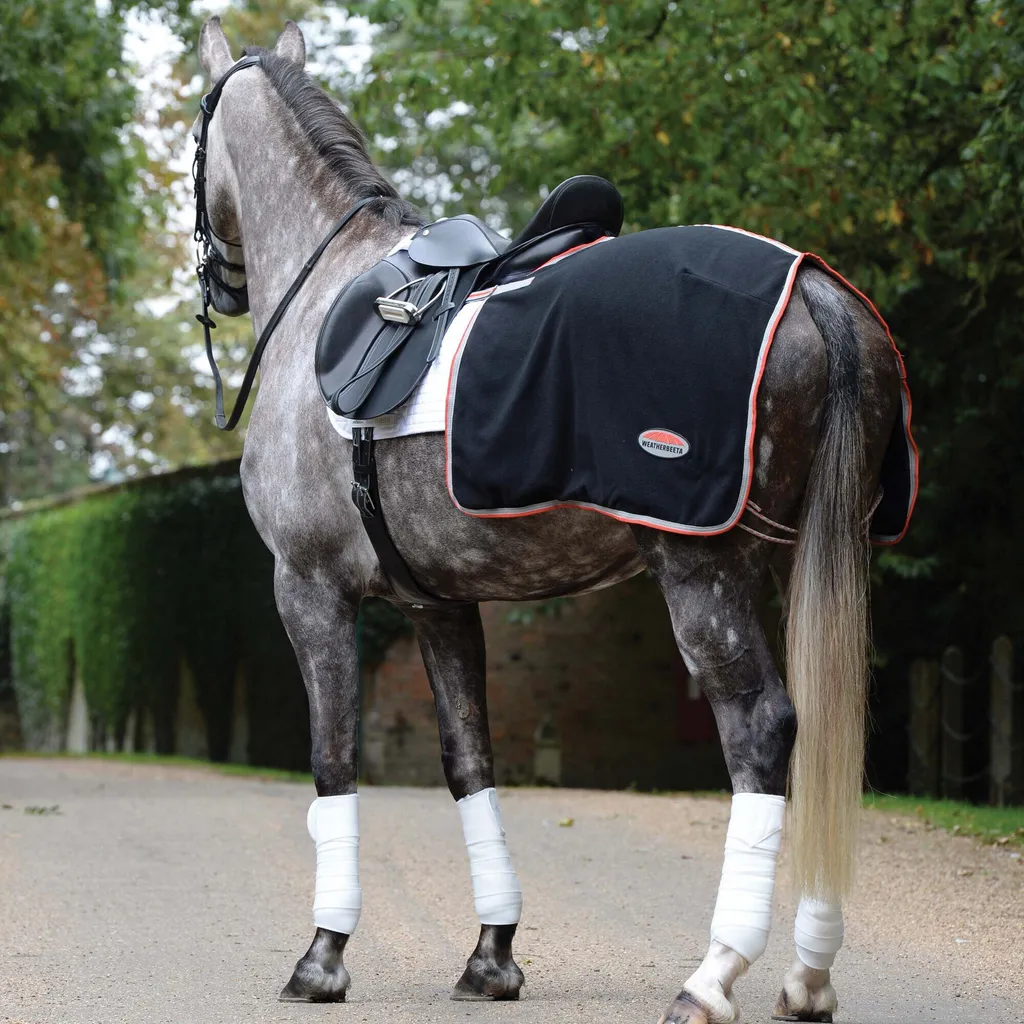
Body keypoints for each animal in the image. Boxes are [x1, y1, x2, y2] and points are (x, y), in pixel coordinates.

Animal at [193, 17, 912, 1023]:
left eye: (194, 137)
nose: (217, 287)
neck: (329, 288)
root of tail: (813, 287)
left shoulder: (309, 590)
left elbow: (333, 761)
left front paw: (323, 956)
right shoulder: (437, 604)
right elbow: (469, 761)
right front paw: (492, 954)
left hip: (704, 571)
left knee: (765, 727)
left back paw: (712, 975)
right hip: (807, 559)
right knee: (827, 733)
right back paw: (807, 979)